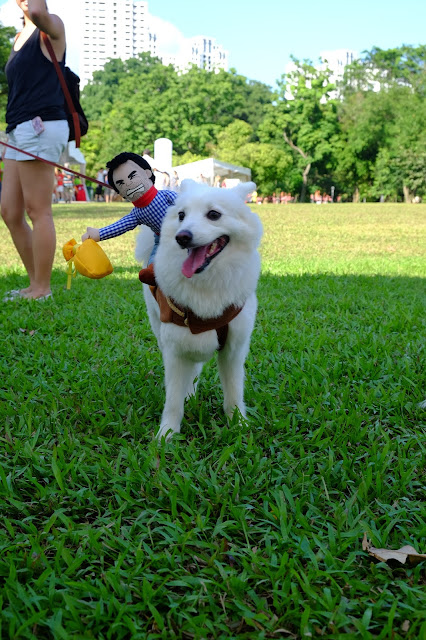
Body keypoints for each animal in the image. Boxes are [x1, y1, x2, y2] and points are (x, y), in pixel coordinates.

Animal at [135, 179, 263, 440]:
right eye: (181, 216)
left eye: (214, 214)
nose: (181, 237)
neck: (207, 284)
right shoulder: (175, 349)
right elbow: (173, 400)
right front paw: (167, 434)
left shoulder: (233, 350)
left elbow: (234, 393)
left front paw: (238, 425)